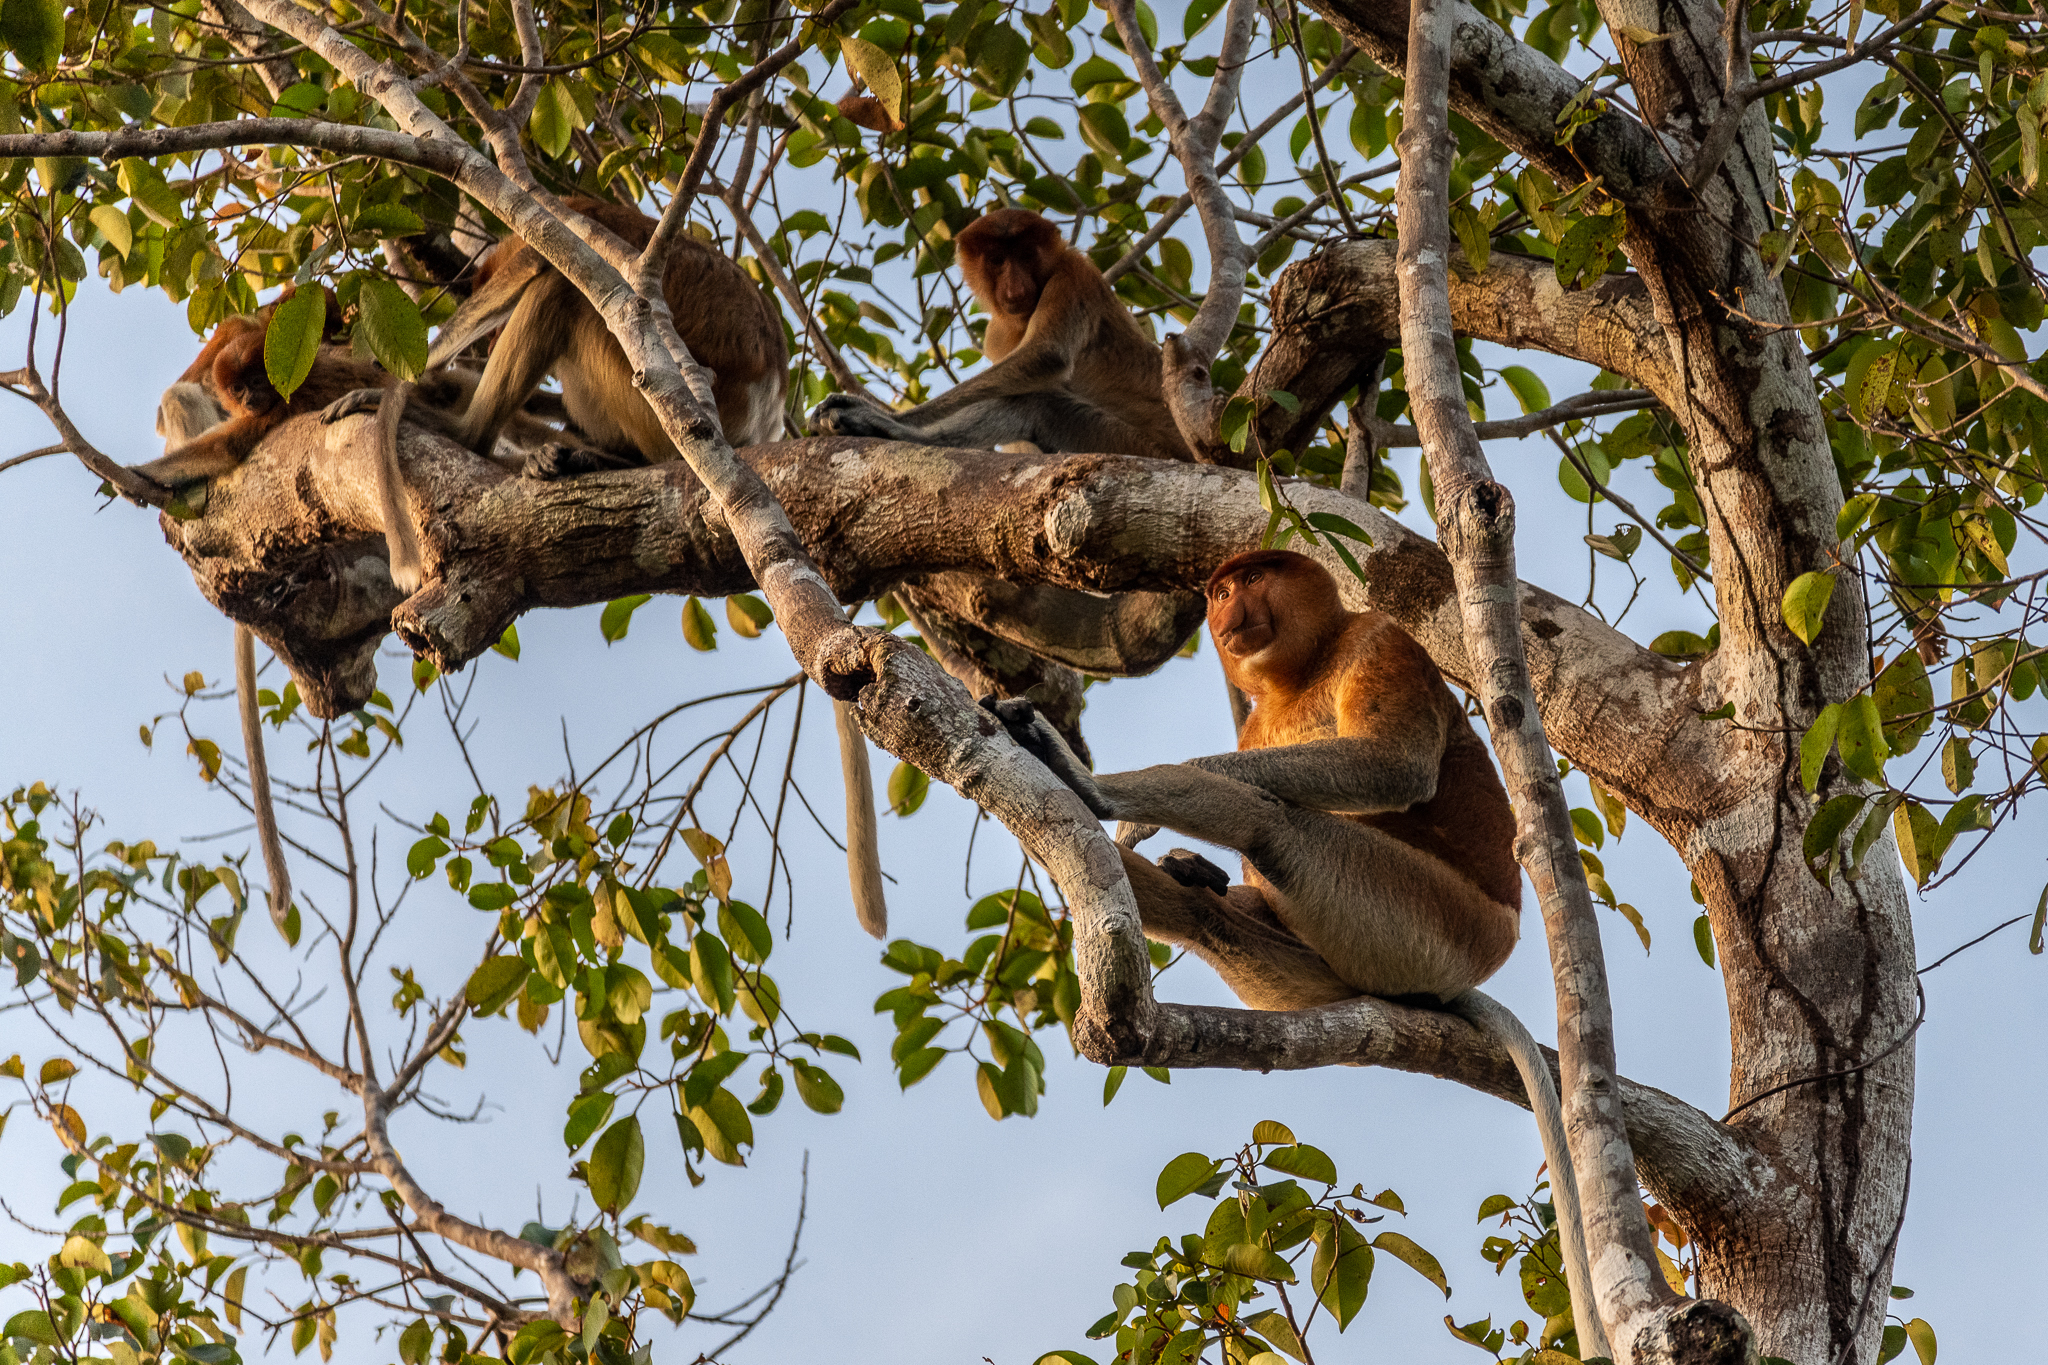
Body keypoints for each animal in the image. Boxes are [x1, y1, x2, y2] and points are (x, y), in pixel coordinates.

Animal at [807, 209, 1193, 462]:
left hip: (1141, 447)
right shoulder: (996, 331)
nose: (1015, 288)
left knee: (1035, 402)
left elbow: (1044, 356)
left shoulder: (1073, 275)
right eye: (996, 259)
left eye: (1025, 254)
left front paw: (882, 415)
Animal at [982, 549, 1611, 1360]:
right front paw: (1172, 852)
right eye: (1218, 589)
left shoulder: (1382, 642)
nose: (1224, 612)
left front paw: (1129, 805)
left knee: (1272, 822)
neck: (1302, 671)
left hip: (1424, 917)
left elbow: (1389, 765)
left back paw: (1086, 789)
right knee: (1220, 913)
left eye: (1249, 580)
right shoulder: (1260, 726)